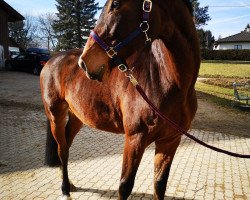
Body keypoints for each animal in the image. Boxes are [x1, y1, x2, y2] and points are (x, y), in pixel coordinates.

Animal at [41, 0, 200, 199]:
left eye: (115, 4)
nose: (85, 62)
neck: (167, 81)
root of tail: (51, 60)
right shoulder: (135, 139)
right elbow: (125, 186)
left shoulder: (170, 141)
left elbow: (159, 184)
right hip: (56, 116)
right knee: (61, 149)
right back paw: (64, 190)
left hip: (77, 117)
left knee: (66, 147)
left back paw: (69, 184)